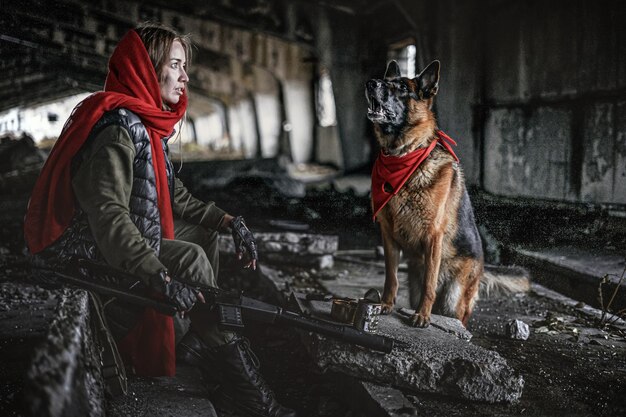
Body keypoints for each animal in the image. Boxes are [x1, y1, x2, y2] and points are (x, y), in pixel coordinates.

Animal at [364, 61, 524, 328]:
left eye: (401, 87)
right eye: (387, 82)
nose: (370, 83)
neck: (404, 155)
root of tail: (482, 266)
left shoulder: (433, 236)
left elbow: (430, 283)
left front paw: (422, 315)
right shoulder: (388, 236)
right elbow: (391, 277)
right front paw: (386, 304)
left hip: (454, 297)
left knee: (455, 312)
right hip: (416, 286)